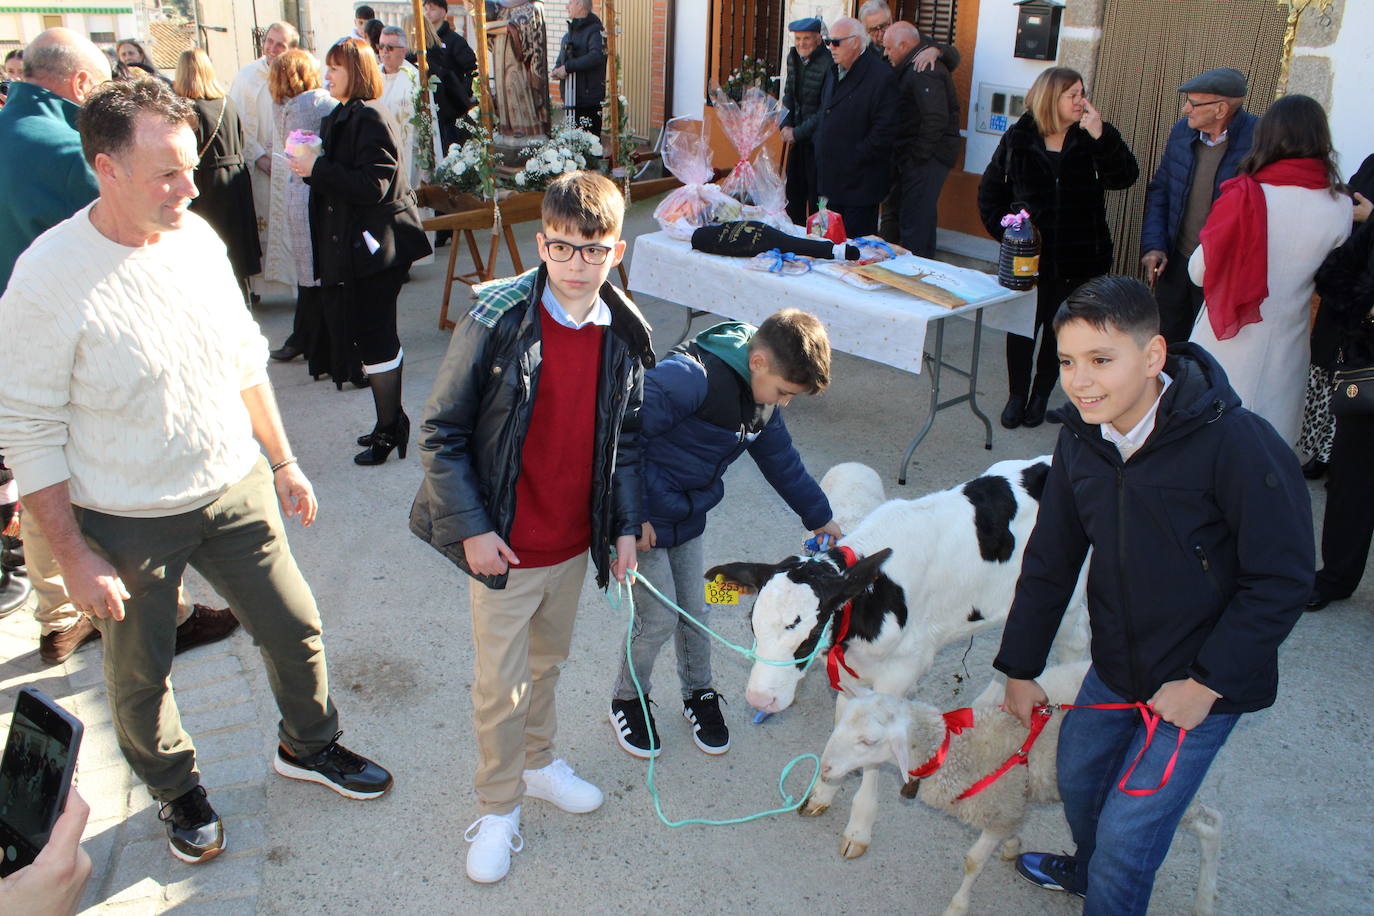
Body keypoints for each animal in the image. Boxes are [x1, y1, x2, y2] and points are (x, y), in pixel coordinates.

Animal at [708, 458, 1082, 862]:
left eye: (808, 631)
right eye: (753, 624)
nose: (759, 699)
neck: (873, 597)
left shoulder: (898, 673)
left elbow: (874, 754)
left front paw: (858, 828)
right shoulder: (852, 675)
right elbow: (843, 727)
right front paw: (825, 790)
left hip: (1072, 609)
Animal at [813, 667, 1225, 916]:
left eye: (868, 741)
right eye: (841, 723)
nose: (827, 768)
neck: (955, 748)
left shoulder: (1000, 807)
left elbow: (972, 862)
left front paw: (957, 906)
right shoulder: (1011, 804)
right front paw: (1013, 845)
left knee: (1211, 824)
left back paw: (1205, 901)